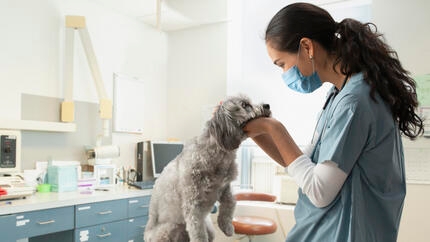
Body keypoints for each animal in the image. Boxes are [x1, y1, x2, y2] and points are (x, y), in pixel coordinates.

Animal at [144, 95, 272, 241]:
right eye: (245, 105)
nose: (267, 105)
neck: (218, 154)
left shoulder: (224, 188)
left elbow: (230, 203)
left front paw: (226, 226)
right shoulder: (193, 206)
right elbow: (199, 233)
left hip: (209, 229)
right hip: (167, 230)